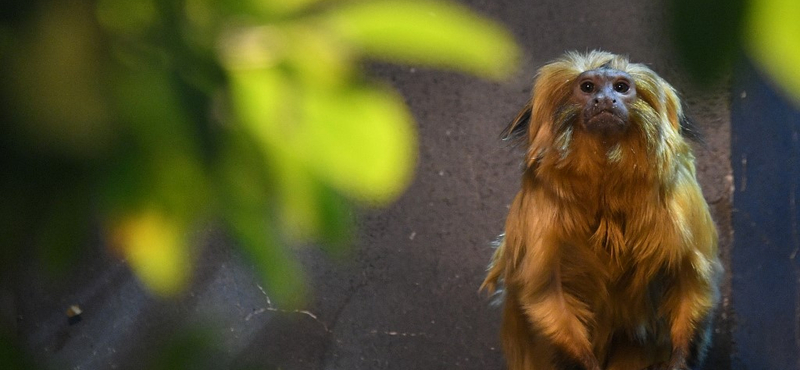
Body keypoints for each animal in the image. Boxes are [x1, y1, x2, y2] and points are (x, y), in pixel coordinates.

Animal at [482, 49, 724, 370]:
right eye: (588, 88)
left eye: (621, 87)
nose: (605, 100)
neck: (606, 186)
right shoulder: (540, 204)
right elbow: (544, 291)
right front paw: (586, 362)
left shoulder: (682, 197)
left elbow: (692, 277)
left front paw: (680, 360)